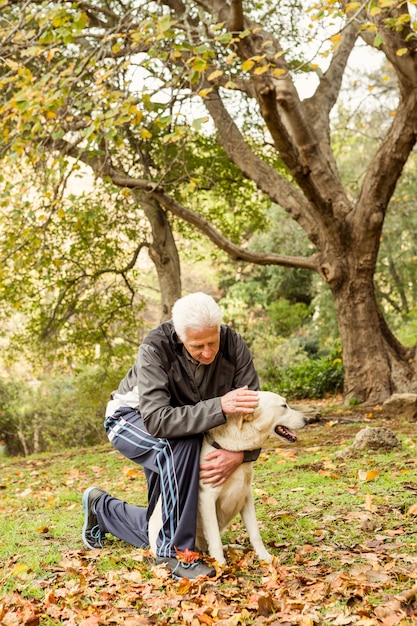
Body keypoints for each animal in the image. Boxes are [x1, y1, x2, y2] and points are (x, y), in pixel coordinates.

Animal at [148, 390, 304, 560]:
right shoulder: (207, 498)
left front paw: (265, 557)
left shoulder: (246, 495)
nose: (307, 420)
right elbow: (215, 538)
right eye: (284, 406)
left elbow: (255, 533)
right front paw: (220, 564)